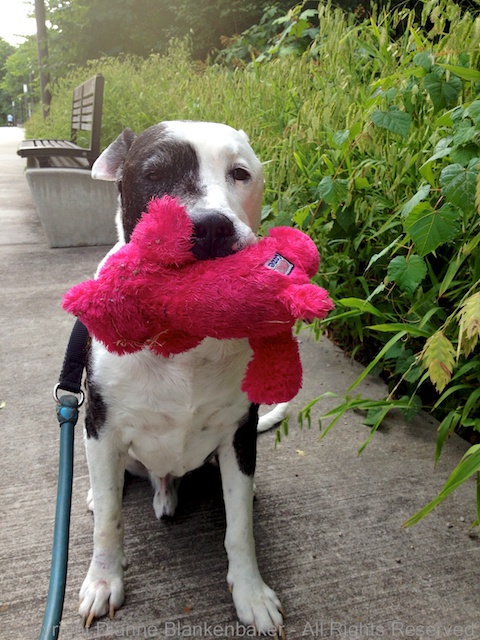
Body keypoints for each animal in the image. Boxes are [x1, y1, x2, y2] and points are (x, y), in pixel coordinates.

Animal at [78, 121, 288, 636]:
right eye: (154, 174)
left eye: (240, 173)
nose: (210, 226)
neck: (184, 333)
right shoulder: (102, 425)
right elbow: (109, 520)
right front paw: (103, 581)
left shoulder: (238, 435)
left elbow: (239, 527)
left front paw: (250, 592)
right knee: (110, 484)